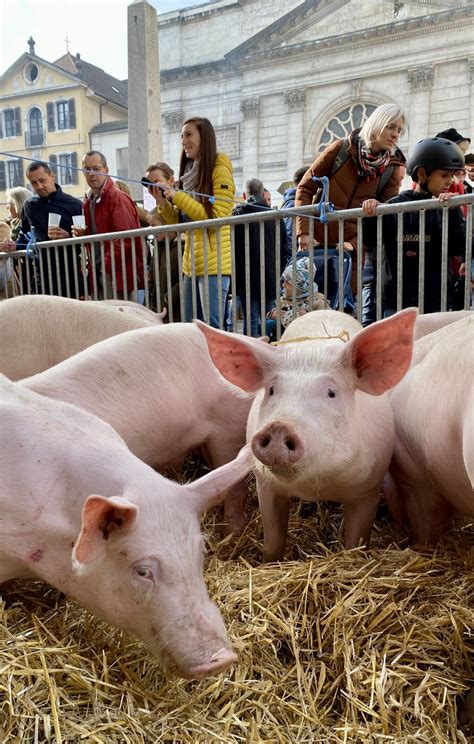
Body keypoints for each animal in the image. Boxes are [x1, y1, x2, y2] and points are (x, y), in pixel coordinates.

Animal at [194, 306, 416, 560]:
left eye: (331, 393)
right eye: (271, 390)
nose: (279, 426)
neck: (314, 486)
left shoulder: (368, 489)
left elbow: (355, 542)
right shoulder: (265, 485)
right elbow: (273, 541)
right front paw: (269, 561)